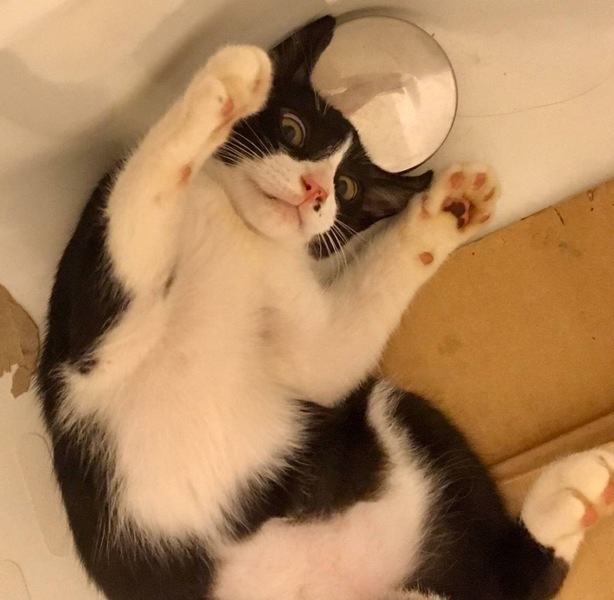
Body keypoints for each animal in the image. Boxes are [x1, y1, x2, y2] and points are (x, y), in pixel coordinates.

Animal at [36, 16, 614, 600]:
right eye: (292, 131)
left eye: (347, 187)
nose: (316, 190)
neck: (238, 227)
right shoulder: (100, 335)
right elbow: (141, 206)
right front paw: (219, 91)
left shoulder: (303, 339)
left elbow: (326, 358)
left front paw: (446, 214)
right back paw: (575, 497)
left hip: (398, 421)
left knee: (495, 583)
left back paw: (571, 498)